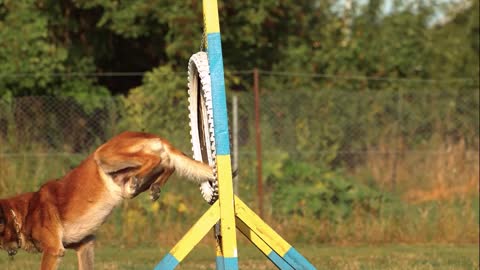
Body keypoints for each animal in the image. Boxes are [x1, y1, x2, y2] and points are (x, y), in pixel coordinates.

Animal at [0, 130, 214, 268]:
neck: (23, 214)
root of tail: (151, 135)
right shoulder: (84, 246)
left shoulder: (53, 251)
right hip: (125, 179)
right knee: (167, 163)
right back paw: (153, 187)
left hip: (103, 155)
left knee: (158, 159)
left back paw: (140, 180)